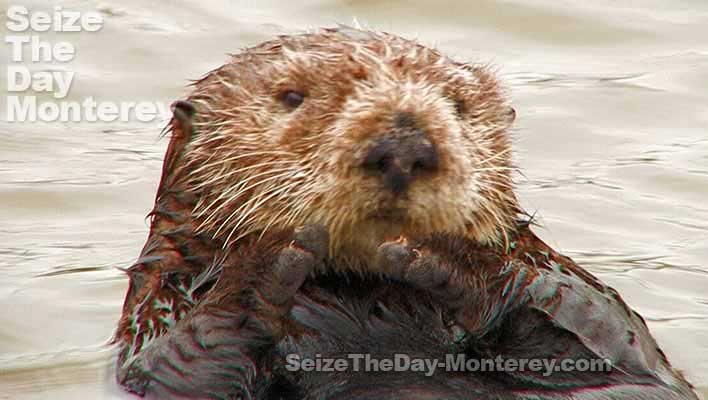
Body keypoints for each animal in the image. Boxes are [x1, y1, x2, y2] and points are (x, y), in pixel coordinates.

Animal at [115, 26, 696, 398]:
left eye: (459, 106)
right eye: (292, 96)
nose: (403, 147)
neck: (363, 298)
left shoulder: (584, 309)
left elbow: (606, 336)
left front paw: (441, 257)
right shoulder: (158, 314)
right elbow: (181, 368)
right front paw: (272, 258)